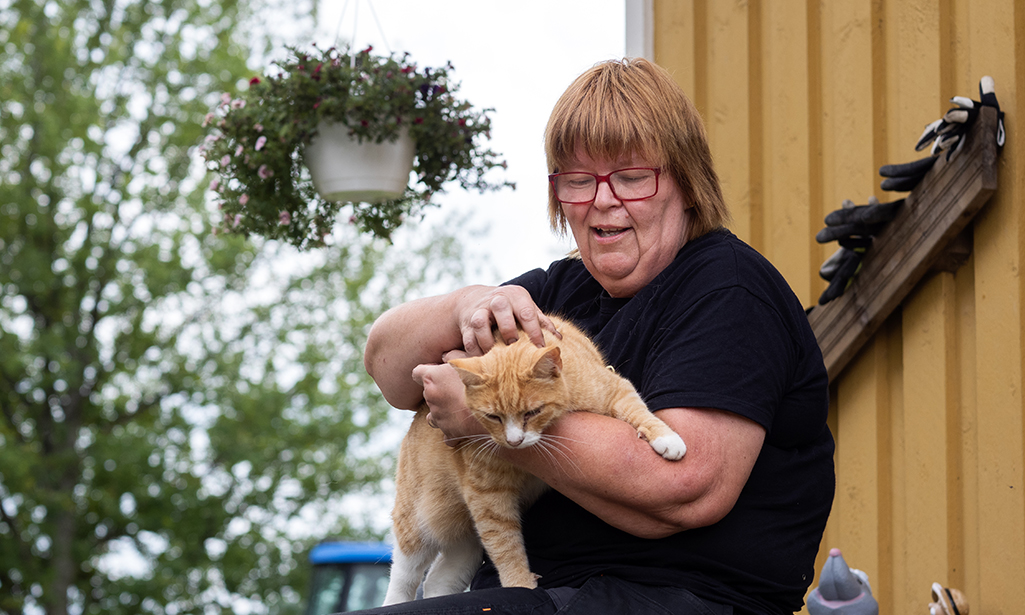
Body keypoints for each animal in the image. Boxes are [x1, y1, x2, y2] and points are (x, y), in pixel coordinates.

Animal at [385, 315, 688, 602]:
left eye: (532, 412)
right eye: (493, 417)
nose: (513, 441)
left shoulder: (614, 388)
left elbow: (639, 410)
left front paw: (667, 438)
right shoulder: (488, 497)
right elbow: (506, 547)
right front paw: (520, 584)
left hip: (467, 541)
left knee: (438, 579)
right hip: (417, 524)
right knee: (403, 578)